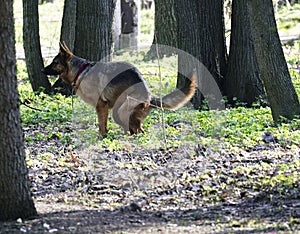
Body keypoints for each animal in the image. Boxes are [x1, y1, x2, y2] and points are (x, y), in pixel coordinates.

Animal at [42, 43, 197, 136]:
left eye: (54, 63)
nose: (42, 70)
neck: (80, 71)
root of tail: (150, 96)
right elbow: (103, 125)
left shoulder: (101, 106)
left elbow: (101, 125)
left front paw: (102, 138)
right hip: (118, 113)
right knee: (134, 129)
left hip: (122, 111)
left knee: (139, 130)